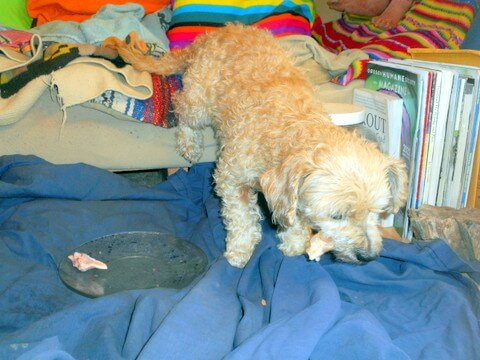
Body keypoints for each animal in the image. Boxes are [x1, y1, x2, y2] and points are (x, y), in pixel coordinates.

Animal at [115, 23, 404, 268]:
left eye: (379, 212)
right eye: (337, 216)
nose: (367, 257)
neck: (292, 129)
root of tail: (213, 34)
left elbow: (294, 215)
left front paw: (294, 242)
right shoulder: (231, 179)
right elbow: (242, 219)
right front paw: (240, 251)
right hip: (198, 103)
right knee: (181, 108)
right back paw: (189, 143)